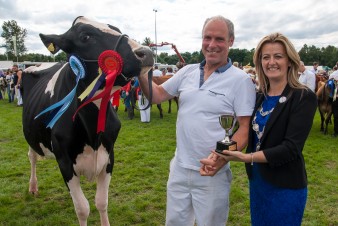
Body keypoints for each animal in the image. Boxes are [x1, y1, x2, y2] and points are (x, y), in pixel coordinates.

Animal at [21, 16, 153, 226]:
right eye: (85, 36)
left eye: (117, 29)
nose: (146, 52)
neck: (92, 132)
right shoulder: (64, 161)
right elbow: (83, 209)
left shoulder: (108, 156)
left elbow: (101, 202)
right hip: (30, 135)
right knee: (32, 156)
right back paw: (33, 187)